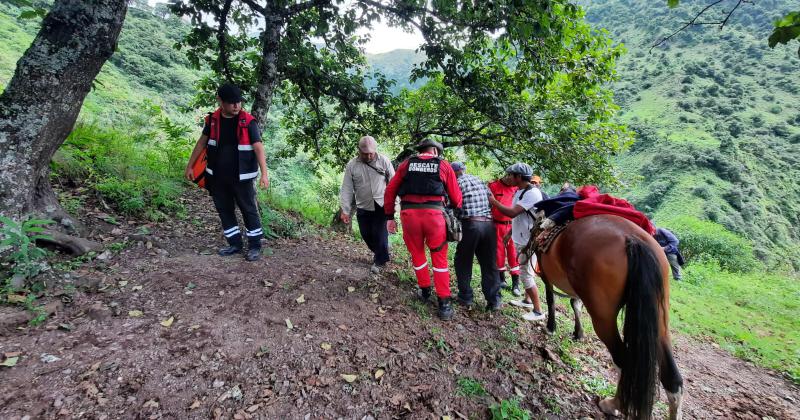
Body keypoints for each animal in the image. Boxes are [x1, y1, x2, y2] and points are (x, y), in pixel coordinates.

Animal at [536, 215, 684, 420]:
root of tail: (632, 239)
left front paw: (551, 326)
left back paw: (613, 405)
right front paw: (578, 332)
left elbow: (551, 299)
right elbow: (575, 304)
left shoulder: (545, 274)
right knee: (672, 378)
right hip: (660, 316)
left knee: (624, 362)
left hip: (603, 316)